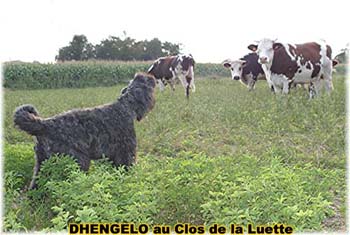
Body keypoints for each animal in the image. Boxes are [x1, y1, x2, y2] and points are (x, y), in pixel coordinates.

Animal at [14, 73, 156, 189]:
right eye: (147, 83)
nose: (153, 78)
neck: (125, 107)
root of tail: (44, 125)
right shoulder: (126, 153)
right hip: (79, 161)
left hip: (42, 163)